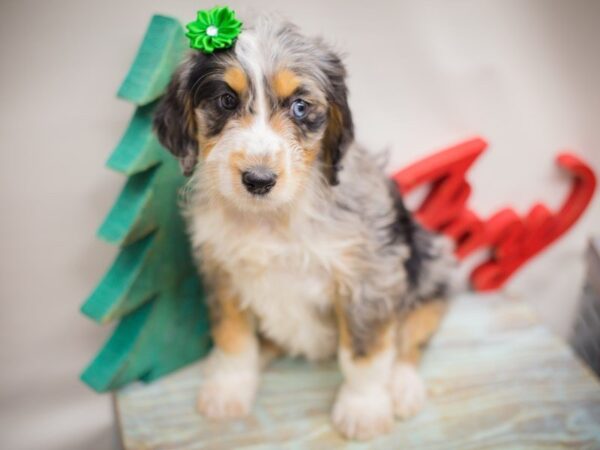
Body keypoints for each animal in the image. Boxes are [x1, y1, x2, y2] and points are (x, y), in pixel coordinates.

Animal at [152, 14, 452, 442]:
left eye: (299, 106)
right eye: (226, 100)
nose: (258, 180)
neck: (273, 218)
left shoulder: (369, 277)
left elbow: (365, 352)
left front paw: (362, 408)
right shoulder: (221, 270)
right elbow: (232, 337)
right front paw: (228, 388)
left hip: (430, 264)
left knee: (411, 336)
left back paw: (402, 387)